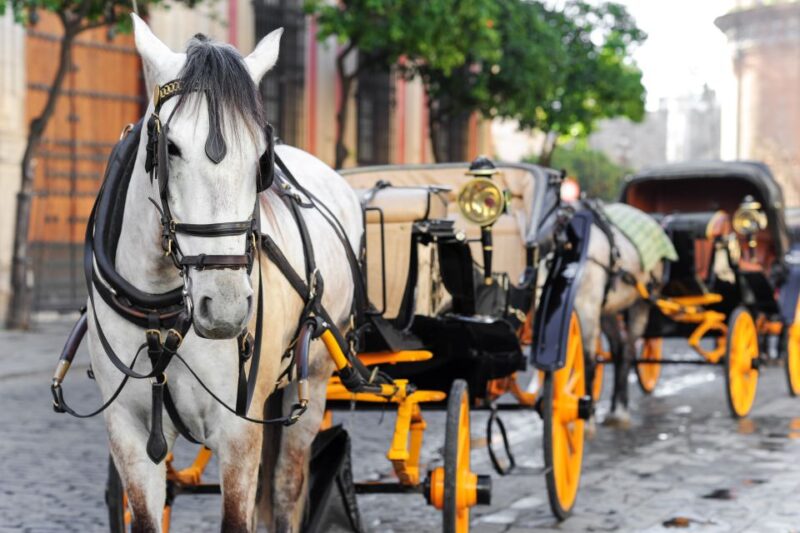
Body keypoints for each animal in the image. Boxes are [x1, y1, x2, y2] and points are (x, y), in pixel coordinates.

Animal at [88, 15, 361, 531]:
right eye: (171, 147)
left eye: (261, 157)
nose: (227, 307)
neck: (162, 314)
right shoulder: (127, 433)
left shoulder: (238, 429)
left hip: (312, 383)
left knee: (286, 487)